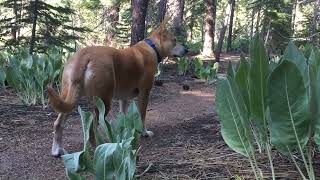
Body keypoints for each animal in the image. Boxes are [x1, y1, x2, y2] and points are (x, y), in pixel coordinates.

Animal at [47, 20, 188, 156]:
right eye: (175, 40)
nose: (186, 49)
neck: (152, 47)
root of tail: (84, 55)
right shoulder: (144, 93)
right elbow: (142, 116)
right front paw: (144, 132)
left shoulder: (123, 98)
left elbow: (123, 116)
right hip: (103, 102)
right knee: (92, 127)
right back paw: (97, 146)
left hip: (69, 96)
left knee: (58, 123)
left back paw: (57, 150)